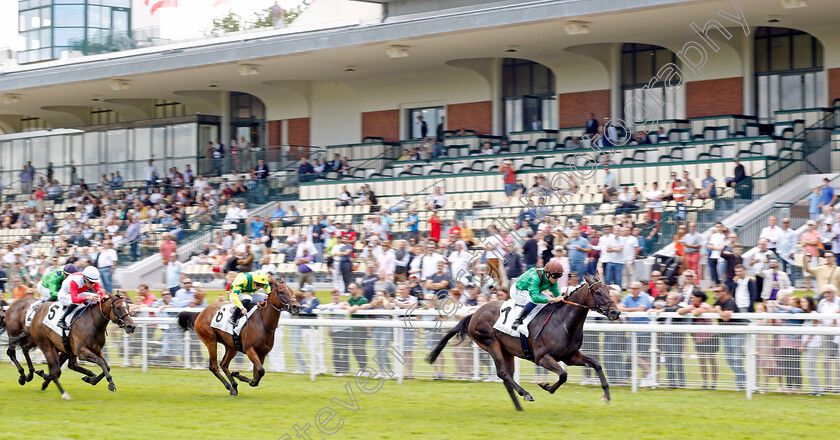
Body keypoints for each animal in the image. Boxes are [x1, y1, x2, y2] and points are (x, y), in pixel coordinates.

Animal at [430, 276, 620, 410]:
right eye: (598, 293)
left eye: (609, 291)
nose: (616, 312)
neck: (562, 322)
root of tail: (474, 314)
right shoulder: (542, 357)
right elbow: (563, 375)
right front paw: (546, 386)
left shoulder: (570, 357)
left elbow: (596, 364)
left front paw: (607, 395)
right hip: (491, 343)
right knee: (503, 373)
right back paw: (526, 394)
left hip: (507, 351)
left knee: (507, 377)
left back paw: (519, 407)